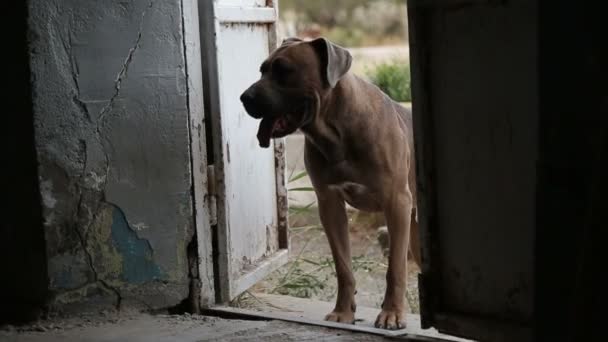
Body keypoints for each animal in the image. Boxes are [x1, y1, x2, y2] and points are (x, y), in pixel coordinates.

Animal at [240, 36, 420, 328]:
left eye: (284, 70)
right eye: (262, 70)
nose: (244, 97)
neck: (335, 131)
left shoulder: (396, 203)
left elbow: (396, 267)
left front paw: (392, 313)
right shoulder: (330, 204)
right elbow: (343, 267)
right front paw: (343, 312)